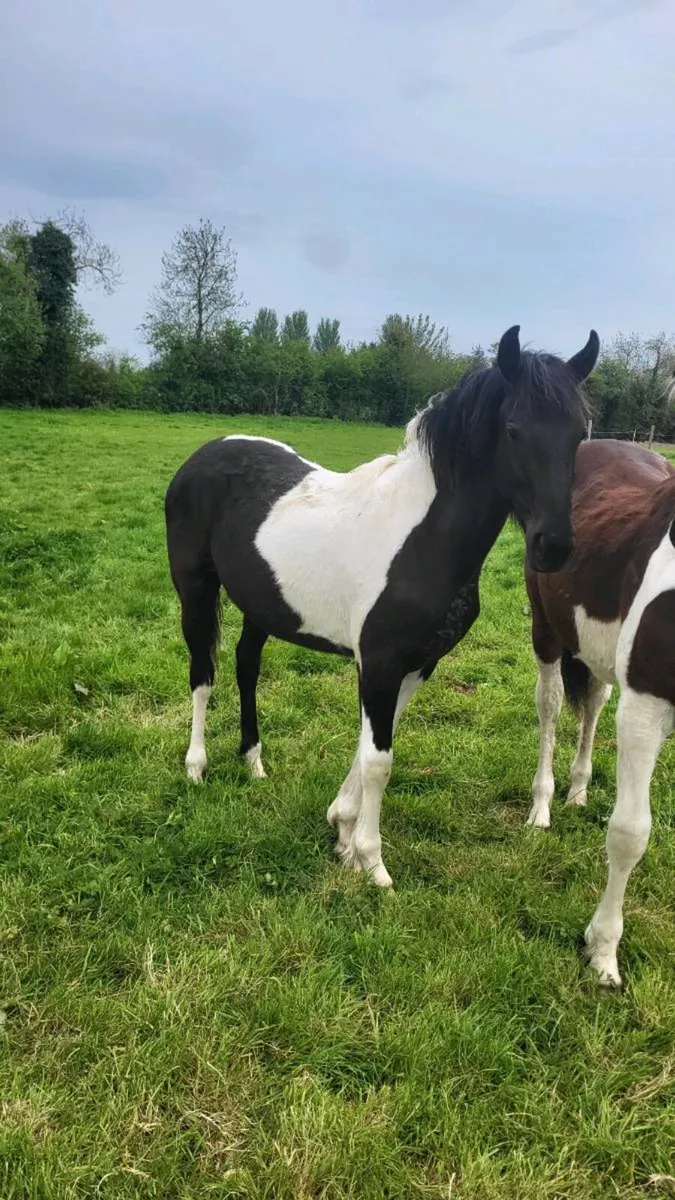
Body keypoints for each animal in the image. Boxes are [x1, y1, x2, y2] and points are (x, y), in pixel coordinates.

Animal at [166, 324, 598, 887]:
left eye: (579, 434)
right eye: (513, 429)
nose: (554, 547)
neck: (424, 539)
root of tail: (202, 455)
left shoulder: (416, 664)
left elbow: (370, 744)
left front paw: (343, 831)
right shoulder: (379, 663)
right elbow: (378, 761)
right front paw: (372, 862)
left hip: (263, 606)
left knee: (245, 667)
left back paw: (254, 763)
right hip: (195, 590)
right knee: (202, 672)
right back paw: (196, 767)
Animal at [525, 437, 675, 985]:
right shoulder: (647, 705)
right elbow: (630, 833)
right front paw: (603, 949)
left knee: (592, 704)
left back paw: (579, 790)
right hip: (546, 629)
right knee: (549, 706)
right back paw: (543, 806)